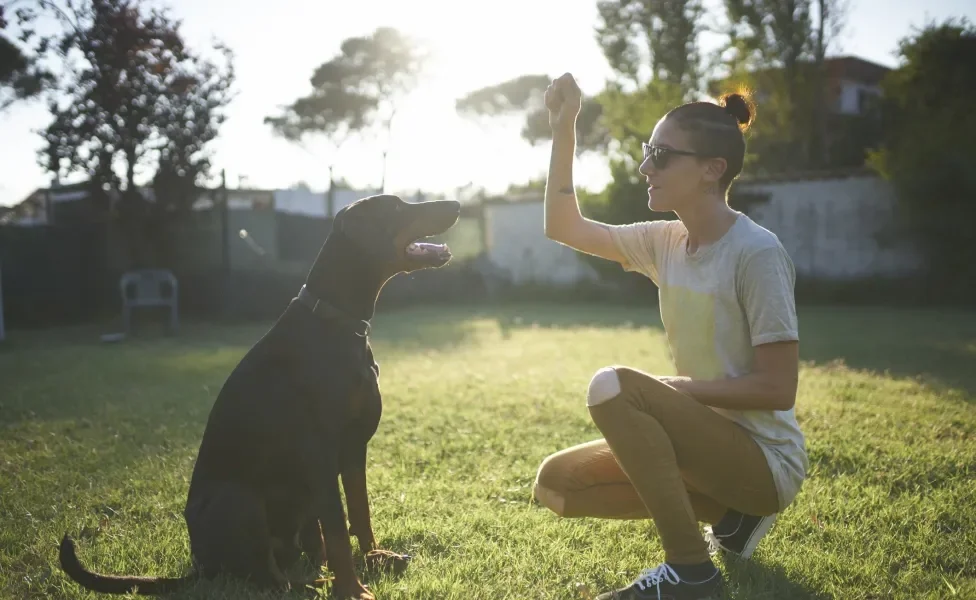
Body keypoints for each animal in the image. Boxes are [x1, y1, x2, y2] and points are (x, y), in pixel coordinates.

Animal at [59, 195, 464, 596]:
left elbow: (359, 513)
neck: (336, 322)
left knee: (299, 555)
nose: (457, 204)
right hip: (239, 500)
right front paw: (352, 589)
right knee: (267, 578)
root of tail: (199, 566)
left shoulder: (353, 449)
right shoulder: (320, 453)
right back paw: (312, 585)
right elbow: (337, 526)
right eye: (396, 207)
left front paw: (375, 557)